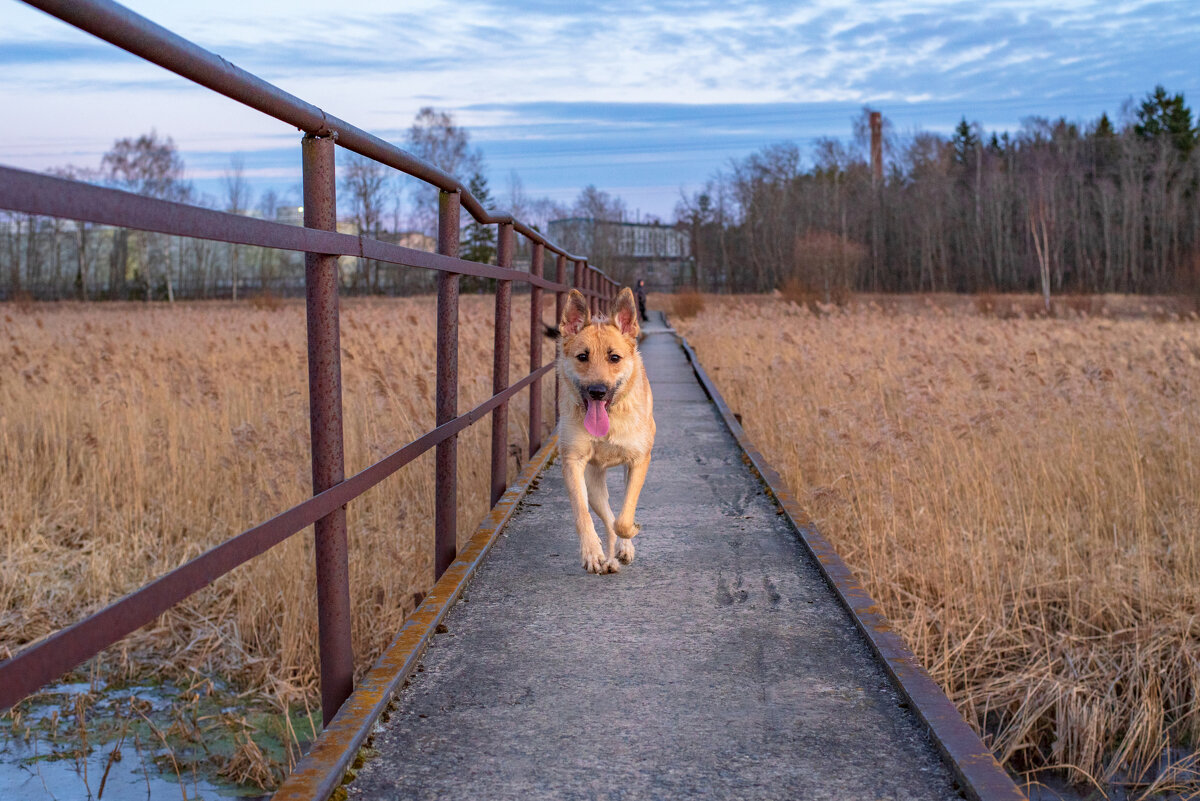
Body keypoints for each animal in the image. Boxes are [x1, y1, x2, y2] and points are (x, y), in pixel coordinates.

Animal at [552, 287, 657, 575]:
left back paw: (623, 548)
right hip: (593, 484)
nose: (597, 391)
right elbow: (583, 513)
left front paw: (631, 533)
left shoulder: (639, 461)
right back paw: (608, 558)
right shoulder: (573, 462)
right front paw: (592, 552)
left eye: (614, 358)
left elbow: (625, 517)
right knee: (607, 519)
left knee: (616, 518)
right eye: (582, 357)